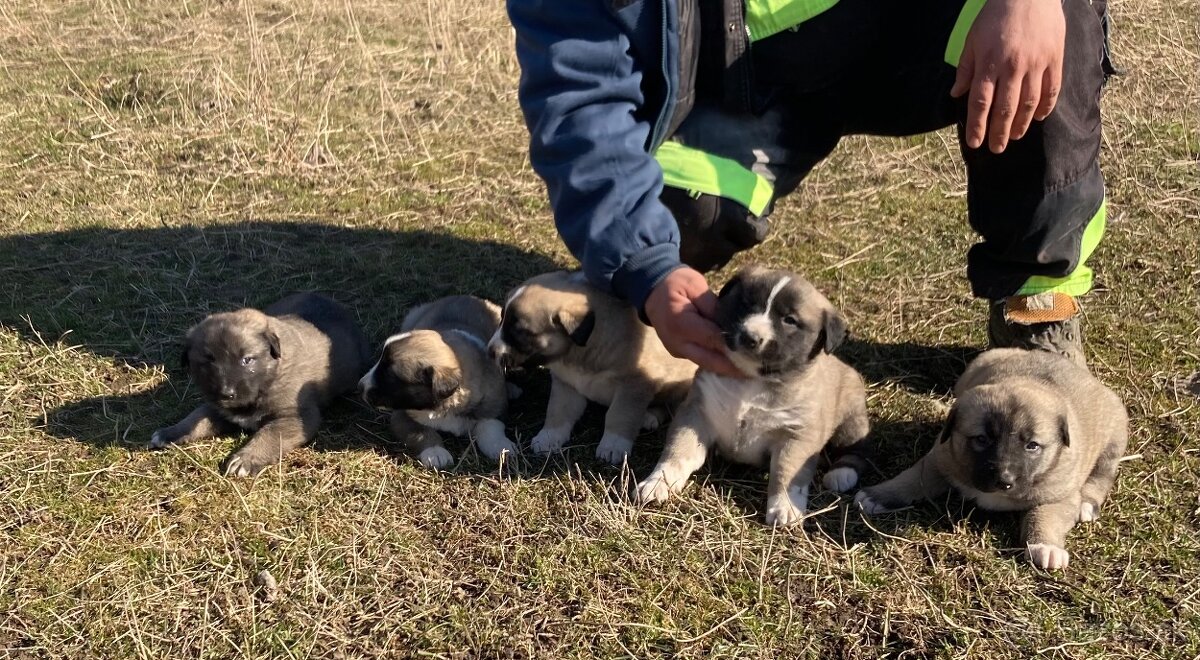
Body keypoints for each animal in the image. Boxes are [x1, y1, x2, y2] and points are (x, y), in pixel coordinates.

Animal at [148, 294, 369, 475]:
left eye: (247, 360)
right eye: (208, 362)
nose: (226, 394)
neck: (269, 377)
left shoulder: (295, 417)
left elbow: (268, 435)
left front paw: (245, 459)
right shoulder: (217, 407)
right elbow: (196, 418)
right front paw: (171, 432)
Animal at [360, 295, 520, 470]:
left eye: (388, 374)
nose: (360, 385)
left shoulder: (495, 404)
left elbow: (490, 426)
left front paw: (500, 446)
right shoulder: (401, 416)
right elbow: (421, 433)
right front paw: (436, 453)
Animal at [484, 270, 700, 465]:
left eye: (519, 332)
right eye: (502, 319)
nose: (490, 351)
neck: (580, 352)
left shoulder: (634, 386)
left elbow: (620, 414)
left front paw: (613, 445)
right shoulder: (567, 383)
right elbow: (558, 410)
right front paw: (549, 437)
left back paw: (649, 416)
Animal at [638, 266, 873, 530]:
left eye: (789, 320)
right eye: (747, 304)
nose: (750, 337)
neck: (752, 380)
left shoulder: (797, 434)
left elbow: (786, 471)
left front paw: (785, 506)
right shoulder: (697, 412)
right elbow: (678, 451)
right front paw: (657, 482)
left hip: (851, 419)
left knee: (857, 449)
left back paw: (842, 474)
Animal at [859, 350, 1128, 571]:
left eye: (1032, 446)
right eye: (982, 439)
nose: (1004, 480)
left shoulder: (1059, 495)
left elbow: (1044, 517)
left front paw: (1046, 547)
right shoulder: (941, 459)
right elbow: (913, 479)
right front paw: (879, 495)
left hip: (1114, 437)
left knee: (1102, 475)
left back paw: (1088, 503)